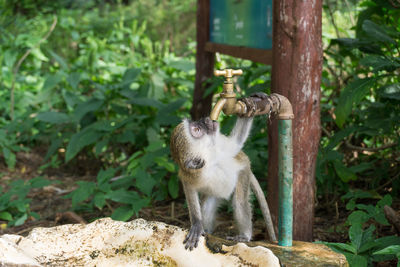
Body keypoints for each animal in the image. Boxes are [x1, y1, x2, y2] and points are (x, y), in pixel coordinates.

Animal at [169, 115, 276, 251]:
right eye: (197, 129)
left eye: (195, 124)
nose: (204, 120)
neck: (210, 159)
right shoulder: (191, 174)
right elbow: (189, 189)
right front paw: (197, 223)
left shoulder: (220, 147)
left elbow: (236, 143)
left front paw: (250, 110)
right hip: (215, 192)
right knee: (209, 207)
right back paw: (208, 231)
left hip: (244, 172)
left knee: (240, 201)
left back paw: (244, 235)